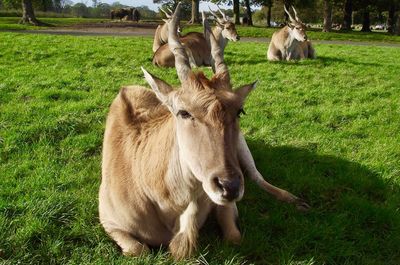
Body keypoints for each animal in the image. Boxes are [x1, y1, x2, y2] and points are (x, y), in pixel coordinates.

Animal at [101, 1, 310, 258]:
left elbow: (234, 237)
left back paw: (295, 200)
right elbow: (138, 250)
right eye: (183, 112)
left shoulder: (225, 205)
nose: (229, 187)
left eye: (239, 111)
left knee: (257, 176)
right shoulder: (110, 222)